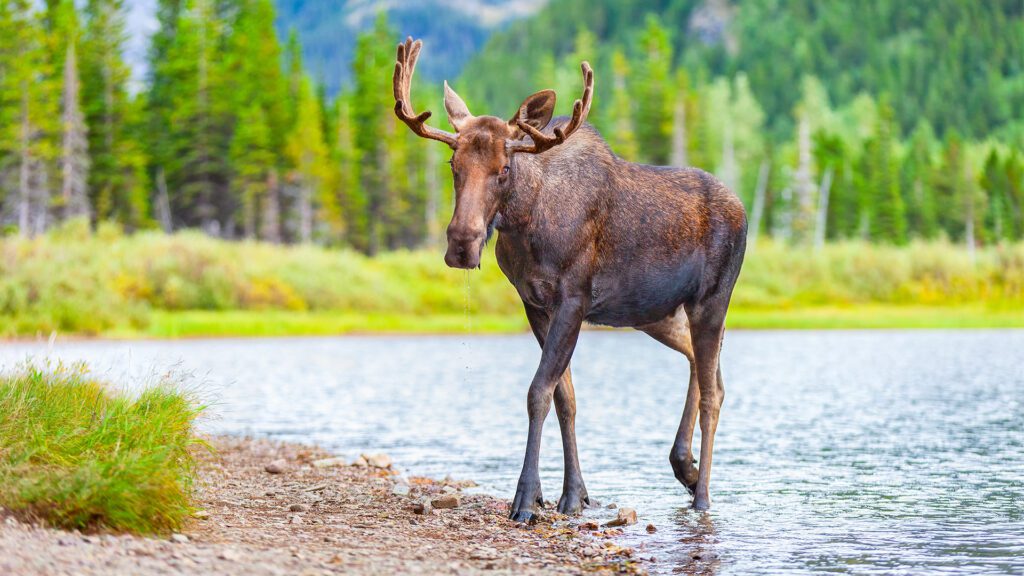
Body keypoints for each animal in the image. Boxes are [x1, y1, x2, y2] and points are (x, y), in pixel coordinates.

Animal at [393, 37, 747, 521]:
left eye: (505, 168)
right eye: (452, 163)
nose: (462, 243)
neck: (525, 226)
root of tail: (744, 210)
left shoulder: (573, 300)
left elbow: (538, 392)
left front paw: (526, 498)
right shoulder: (534, 304)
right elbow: (566, 397)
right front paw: (573, 493)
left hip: (712, 300)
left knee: (713, 392)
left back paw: (703, 495)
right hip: (658, 313)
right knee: (706, 368)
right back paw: (686, 468)